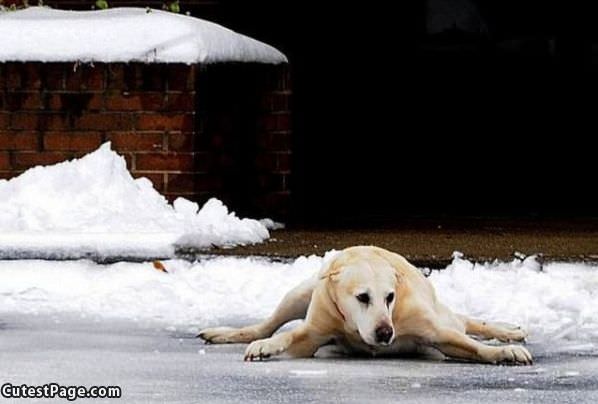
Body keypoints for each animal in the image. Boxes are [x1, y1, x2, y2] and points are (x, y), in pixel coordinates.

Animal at [199, 245, 532, 364]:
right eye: (362, 297)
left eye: (390, 297)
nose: (386, 333)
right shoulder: (316, 328)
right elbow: (289, 335)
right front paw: (265, 347)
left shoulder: (435, 332)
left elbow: (470, 345)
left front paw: (505, 351)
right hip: (303, 291)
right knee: (267, 324)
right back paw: (225, 333)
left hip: (444, 317)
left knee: (464, 323)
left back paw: (509, 331)